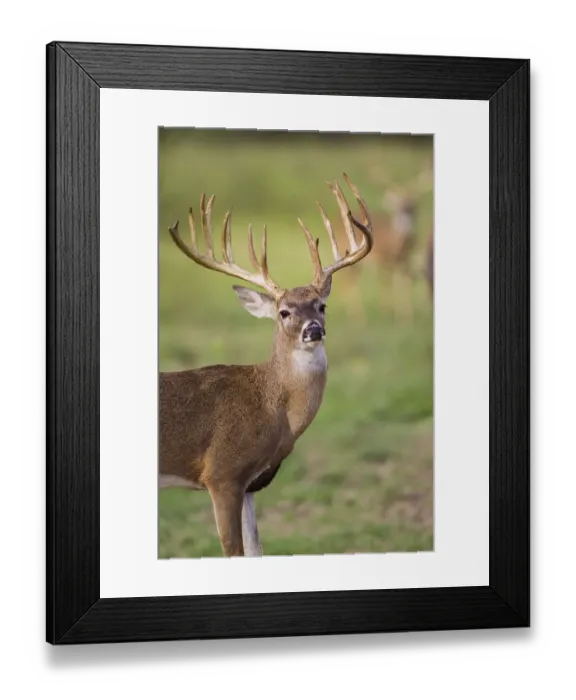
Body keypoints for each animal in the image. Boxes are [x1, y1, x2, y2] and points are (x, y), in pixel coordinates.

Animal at [159, 174, 373, 558]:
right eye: (284, 312)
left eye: (321, 306)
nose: (313, 330)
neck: (273, 407)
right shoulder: (221, 473)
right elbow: (233, 552)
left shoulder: (250, 484)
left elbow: (256, 551)